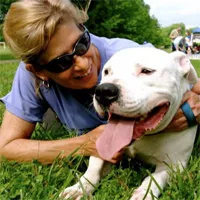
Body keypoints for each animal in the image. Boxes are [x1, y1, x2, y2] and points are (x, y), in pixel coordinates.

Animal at [60, 47, 198, 200]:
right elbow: (93, 168)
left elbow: (155, 178)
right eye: (106, 71)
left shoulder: (175, 165)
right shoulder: (101, 148)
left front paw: (143, 193)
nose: (104, 91)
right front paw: (79, 188)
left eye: (147, 71)